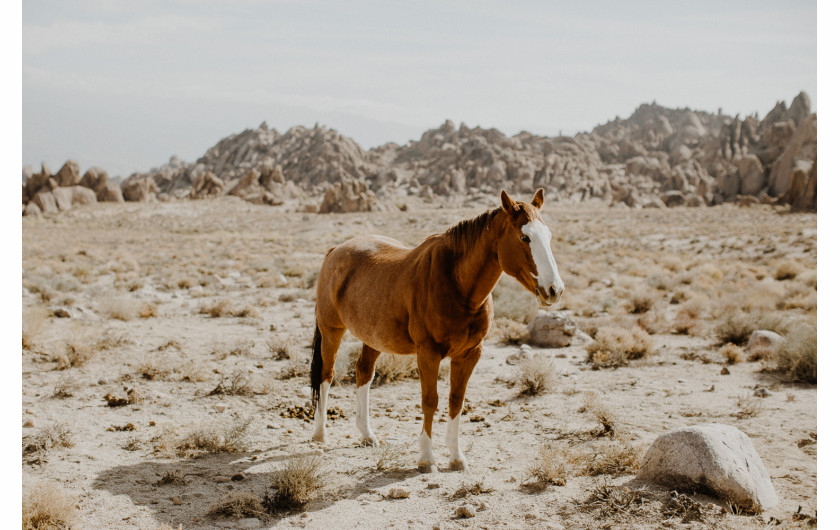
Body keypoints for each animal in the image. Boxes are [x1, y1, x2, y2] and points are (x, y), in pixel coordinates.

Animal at [308, 189, 564, 470]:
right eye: (524, 237)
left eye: (548, 236)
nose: (554, 290)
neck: (456, 284)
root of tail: (336, 251)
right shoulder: (428, 353)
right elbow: (430, 401)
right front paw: (426, 458)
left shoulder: (469, 354)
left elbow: (456, 400)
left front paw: (456, 456)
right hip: (331, 330)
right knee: (326, 374)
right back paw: (320, 434)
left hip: (374, 338)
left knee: (364, 372)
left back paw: (367, 434)